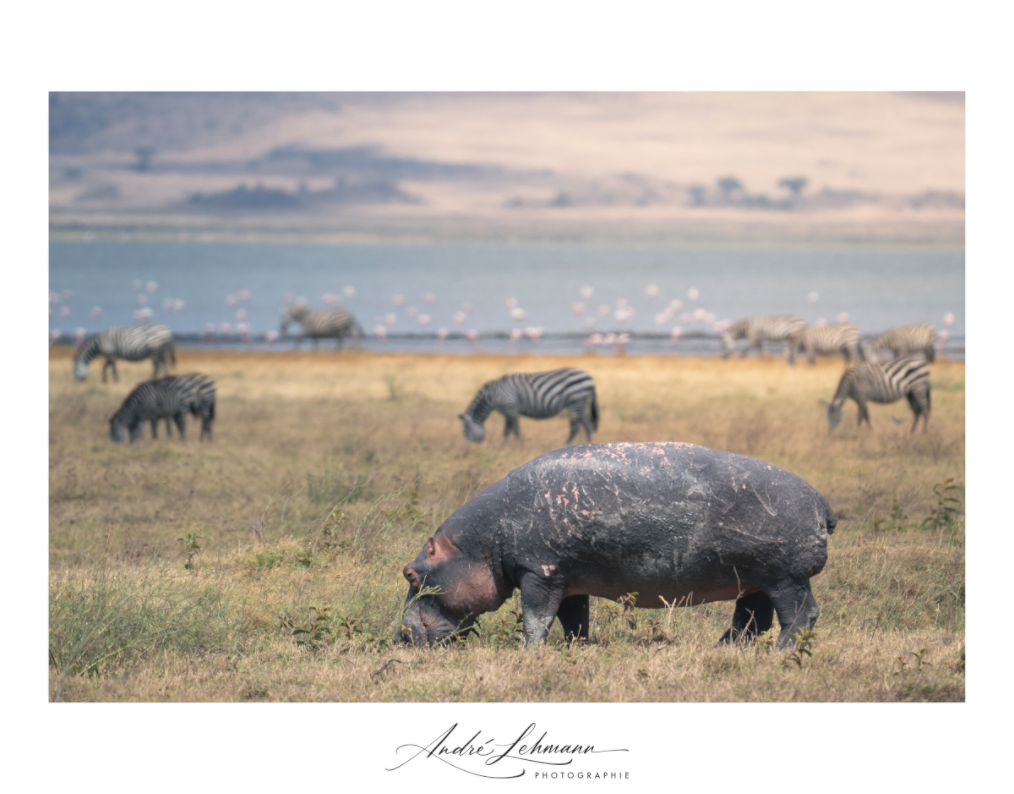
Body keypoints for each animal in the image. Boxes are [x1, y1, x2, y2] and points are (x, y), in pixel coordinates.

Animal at [397, 442, 836, 650]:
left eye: (410, 574)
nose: (400, 636)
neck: (482, 542)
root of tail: (821, 500)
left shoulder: (540, 573)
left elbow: (536, 619)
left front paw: (527, 651)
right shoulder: (567, 578)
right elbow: (574, 621)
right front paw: (574, 650)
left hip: (785, 577)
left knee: (799, 615)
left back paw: (780, 653)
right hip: (754, 577)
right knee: (751, 619)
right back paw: (724, 650)